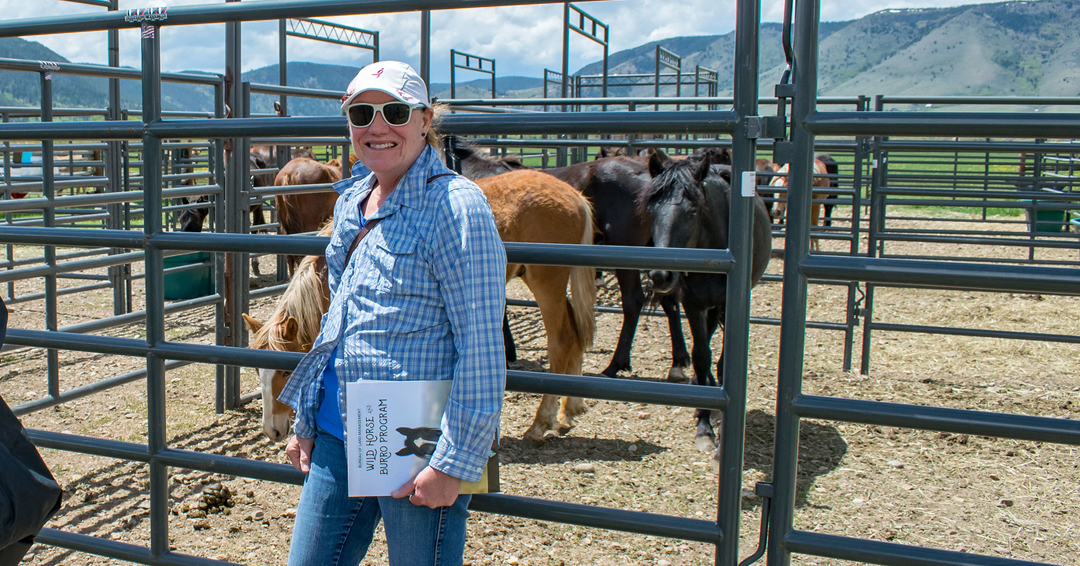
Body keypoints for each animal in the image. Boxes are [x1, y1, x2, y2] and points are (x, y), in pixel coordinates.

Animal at [241, 168, 596, 442]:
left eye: (286, 371)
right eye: (257, 370)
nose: (272, 430)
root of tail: (574, 195)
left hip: (547, 283)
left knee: (562, 339)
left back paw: (542, 422)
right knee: (575, 333)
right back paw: (570, 409)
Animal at [635, 157, 773, 451]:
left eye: (693, 212)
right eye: (651, 210)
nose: (660, 274)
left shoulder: (728, 307)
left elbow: (722, 360)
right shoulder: (694, 304)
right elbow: (700, 356)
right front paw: (704, 425)